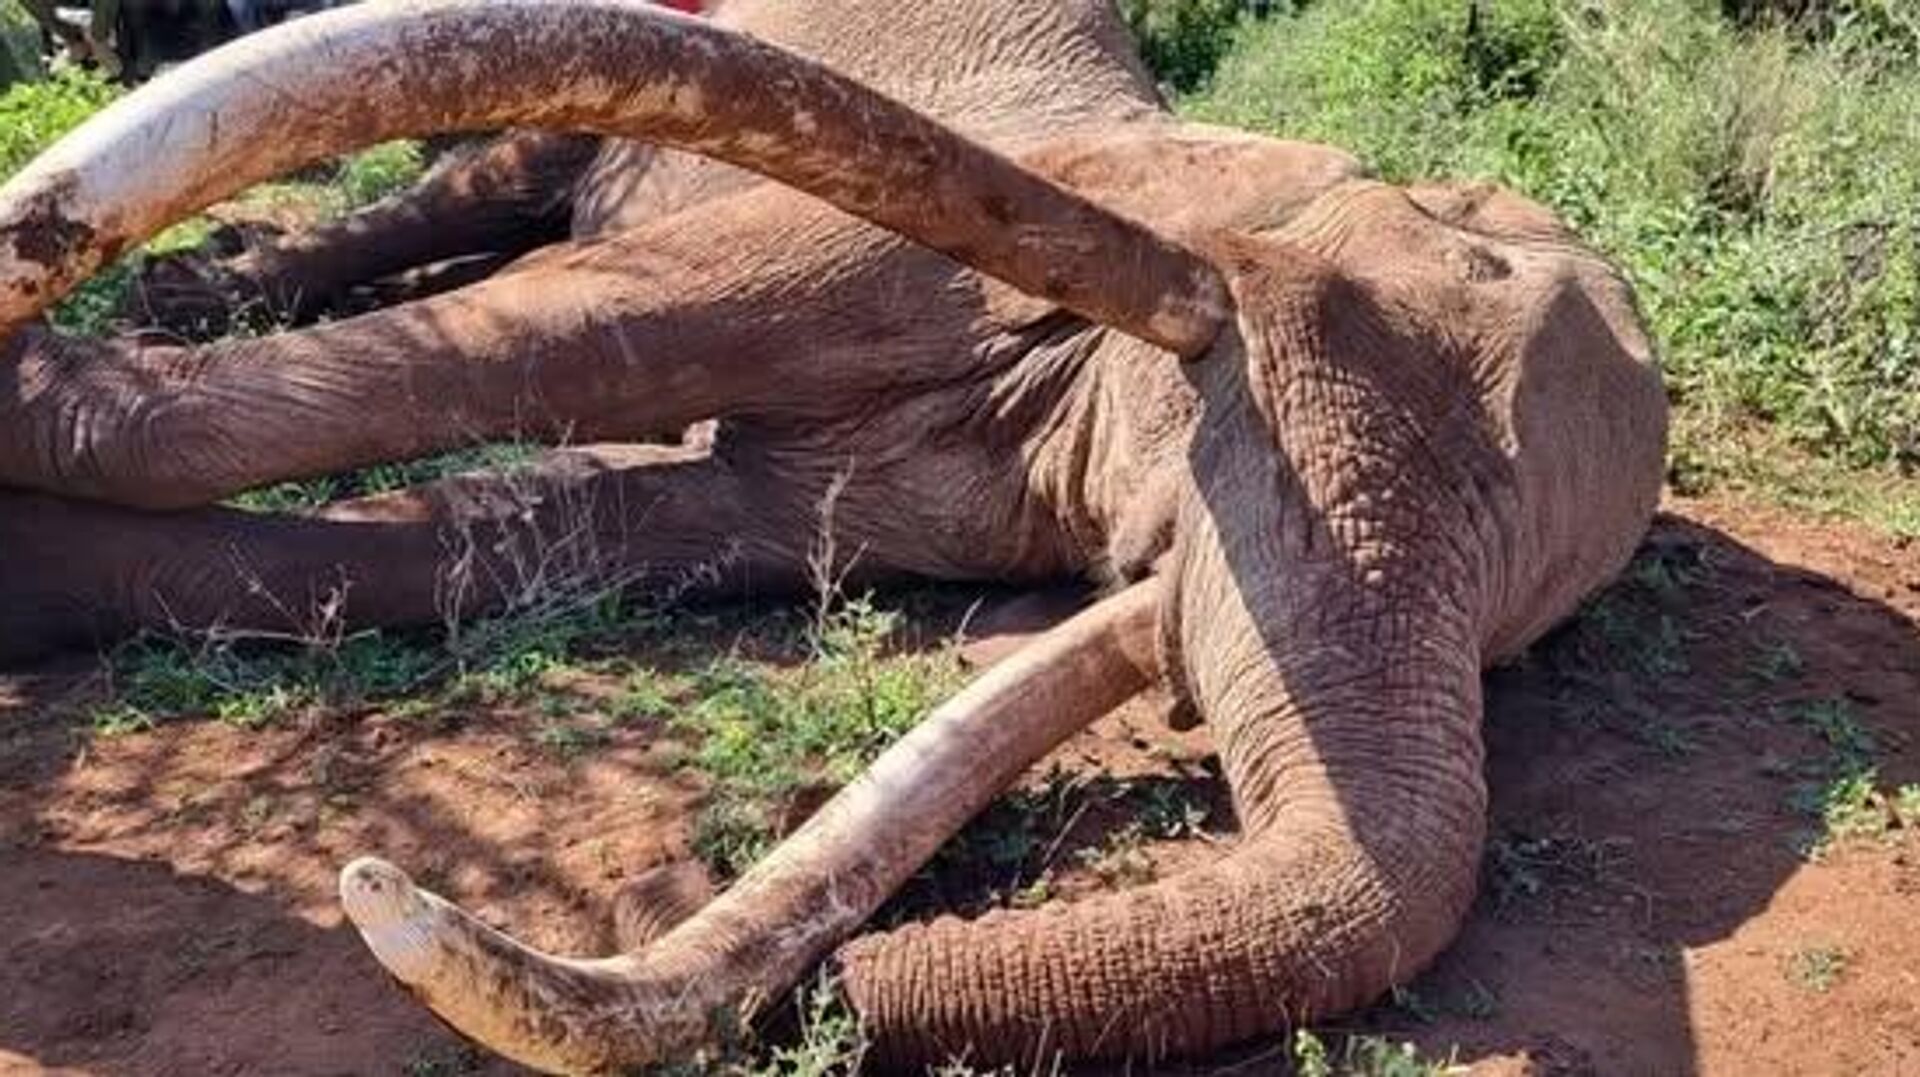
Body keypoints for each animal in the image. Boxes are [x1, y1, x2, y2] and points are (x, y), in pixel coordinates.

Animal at [0, 0, 1668, 1071]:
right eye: (1455, 265)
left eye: (1520, 610)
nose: (666, 873)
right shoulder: (1044, 207)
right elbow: (584, 329)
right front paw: (32, 392)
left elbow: (561, 528)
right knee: (486, 198)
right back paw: (200, 286)